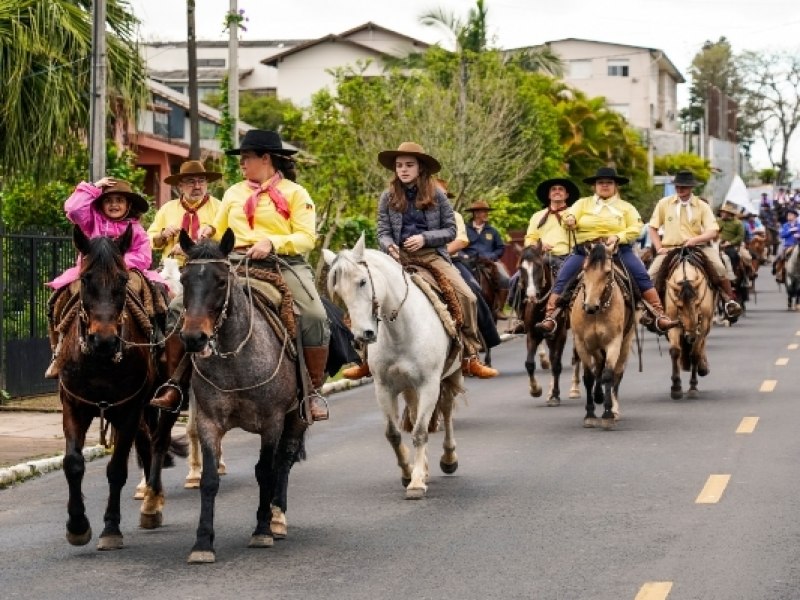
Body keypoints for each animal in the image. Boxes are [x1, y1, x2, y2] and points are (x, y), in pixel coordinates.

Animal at [57, 224, 179, 548]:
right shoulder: (74, 406)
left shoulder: (129, 410)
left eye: (123, 279)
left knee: (158, 441)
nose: (104, 340)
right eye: (86, 278)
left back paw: (152, 502)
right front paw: (77, 525)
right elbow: (73, 463)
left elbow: (117, 469)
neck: (99, 362)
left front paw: (111, 528)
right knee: (147, 442)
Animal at [324, 237, 462, 500]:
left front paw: (416, 484)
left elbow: (420, 432)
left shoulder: (429, 384)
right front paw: (409, 473)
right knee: (415, 413)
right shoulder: (384, 388)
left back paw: (449, 459)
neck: (401, 331)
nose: (363, 335)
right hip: (409, 388)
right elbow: (394, 433)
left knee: (448, 410)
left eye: (362, 281)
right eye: (339, 291)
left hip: (451, 375)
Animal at [516, 245, 580, 408]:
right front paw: (535, 390)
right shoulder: (532, 334)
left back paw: (574, 389)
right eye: (521, 268)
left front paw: (554, 396)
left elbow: (557, 365)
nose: (531, 295)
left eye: (538, 266)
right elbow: (529, 364)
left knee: (576, 357)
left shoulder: (561, 335)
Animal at [568, 241, 636, 428]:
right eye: (584, 269)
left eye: (606, 272)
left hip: (625, 342)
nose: (590, 306)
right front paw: (590, 414)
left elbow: (608, 374)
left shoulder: (614, 342)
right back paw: (598, 396)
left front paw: (607, 414)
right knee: (598, 365)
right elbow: (589, 377)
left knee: (616, 373)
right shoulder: (581, 343)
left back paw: (614, 409)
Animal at [660, 246, 716, 400]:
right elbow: (675, 351)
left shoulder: (703, 324)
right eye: (679, 307)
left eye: (697, 304)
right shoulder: (672, 322)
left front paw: (693, 387)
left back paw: (703, 367)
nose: (690, 336)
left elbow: (695, 354)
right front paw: (676, 387)